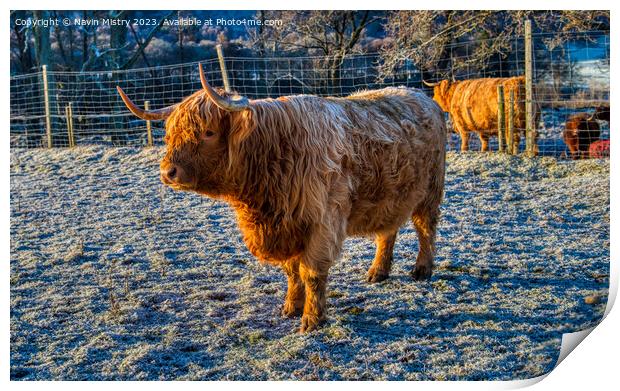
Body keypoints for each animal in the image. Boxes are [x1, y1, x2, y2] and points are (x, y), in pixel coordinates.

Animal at [116, 65, 446, 334]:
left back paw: (421, 269)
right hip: (392, 195)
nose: (168, 172)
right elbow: (291, 271)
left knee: (425, 228)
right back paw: (378, 271)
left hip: (430, 190)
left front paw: (312, 320)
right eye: (170, 134)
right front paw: (291, 307)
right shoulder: (286, 226)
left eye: (208, 132)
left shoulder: (323, 221)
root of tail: (420, 95)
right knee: (387, 232)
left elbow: (311, 273)